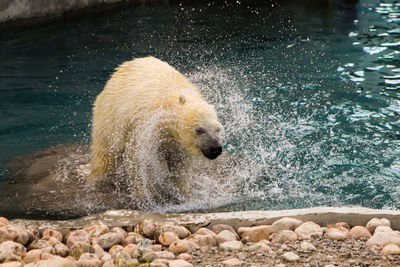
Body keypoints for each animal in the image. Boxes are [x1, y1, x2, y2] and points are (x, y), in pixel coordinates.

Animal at [87, 56, 223, 202]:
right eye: (199, 130)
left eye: (218, 129)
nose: (215, 149)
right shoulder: (147, 126)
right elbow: (141, 161)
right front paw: (144, 194)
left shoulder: (178, 142)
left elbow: (180, 163)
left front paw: (180, 192)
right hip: (109, 116)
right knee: (105, 155)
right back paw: (97, 177)